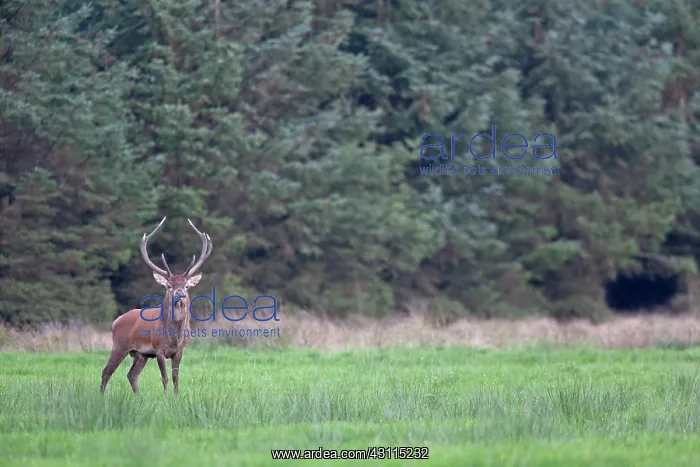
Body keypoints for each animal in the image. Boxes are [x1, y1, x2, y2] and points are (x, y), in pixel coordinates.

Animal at [100, 216, 213, 395]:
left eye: (187, 286)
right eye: (169, 285)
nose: (179, 293)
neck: (174, 337)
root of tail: (116, 320)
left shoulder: (179, 351)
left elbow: (175, 378)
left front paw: (176, 397)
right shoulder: (158, 350)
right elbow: (164, 378)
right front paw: (166, 398)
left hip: (141, 354)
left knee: (131, 374)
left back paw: (138, 397)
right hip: (119, 345)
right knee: (106, 371)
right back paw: (102, 396)